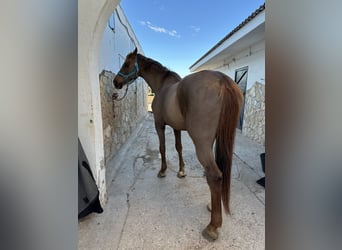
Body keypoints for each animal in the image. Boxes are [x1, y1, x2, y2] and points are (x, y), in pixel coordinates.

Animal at [113, 48, 242, 240]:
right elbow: (179, 148)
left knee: (215, 176)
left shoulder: (159, 125)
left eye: (127, 63)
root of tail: (221, 80)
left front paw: (163, 171)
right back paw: (212, 207)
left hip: (201, 144)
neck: (162, 86)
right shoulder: (176, 128)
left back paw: (213, 226)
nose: (116, 82)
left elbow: (163, 148)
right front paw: (181, 171)